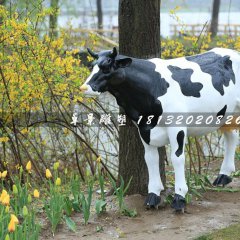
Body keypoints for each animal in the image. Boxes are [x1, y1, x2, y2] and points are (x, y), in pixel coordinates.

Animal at [79, 47, 240, 212]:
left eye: (106, 67)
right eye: (92, 66)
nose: (84, 87)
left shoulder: (177, 125)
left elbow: (177, 158)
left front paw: (179, 197)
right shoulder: (143, 128)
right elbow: (150, 159)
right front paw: (153, 196)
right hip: (225, 114)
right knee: (232, 136)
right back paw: (223, 176)